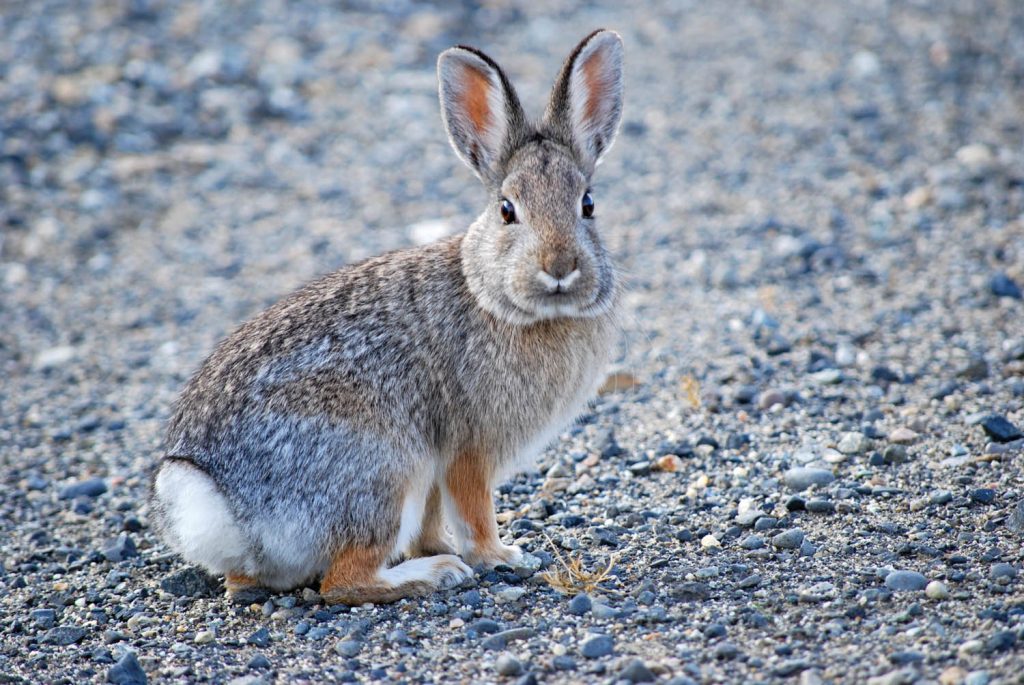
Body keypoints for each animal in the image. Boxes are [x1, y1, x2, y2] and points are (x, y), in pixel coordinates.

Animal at [150, 29, 625, 605]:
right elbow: (474, 509)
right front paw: (501, 556)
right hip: (385, 469)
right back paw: (435, 574)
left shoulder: (440, 470)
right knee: (343, 581)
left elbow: (434, 519)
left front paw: (443, 546)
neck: (497, 298)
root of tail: (223, 506)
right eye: (507, 210)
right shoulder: (467, 448)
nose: (559, 267)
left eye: (588, 204)